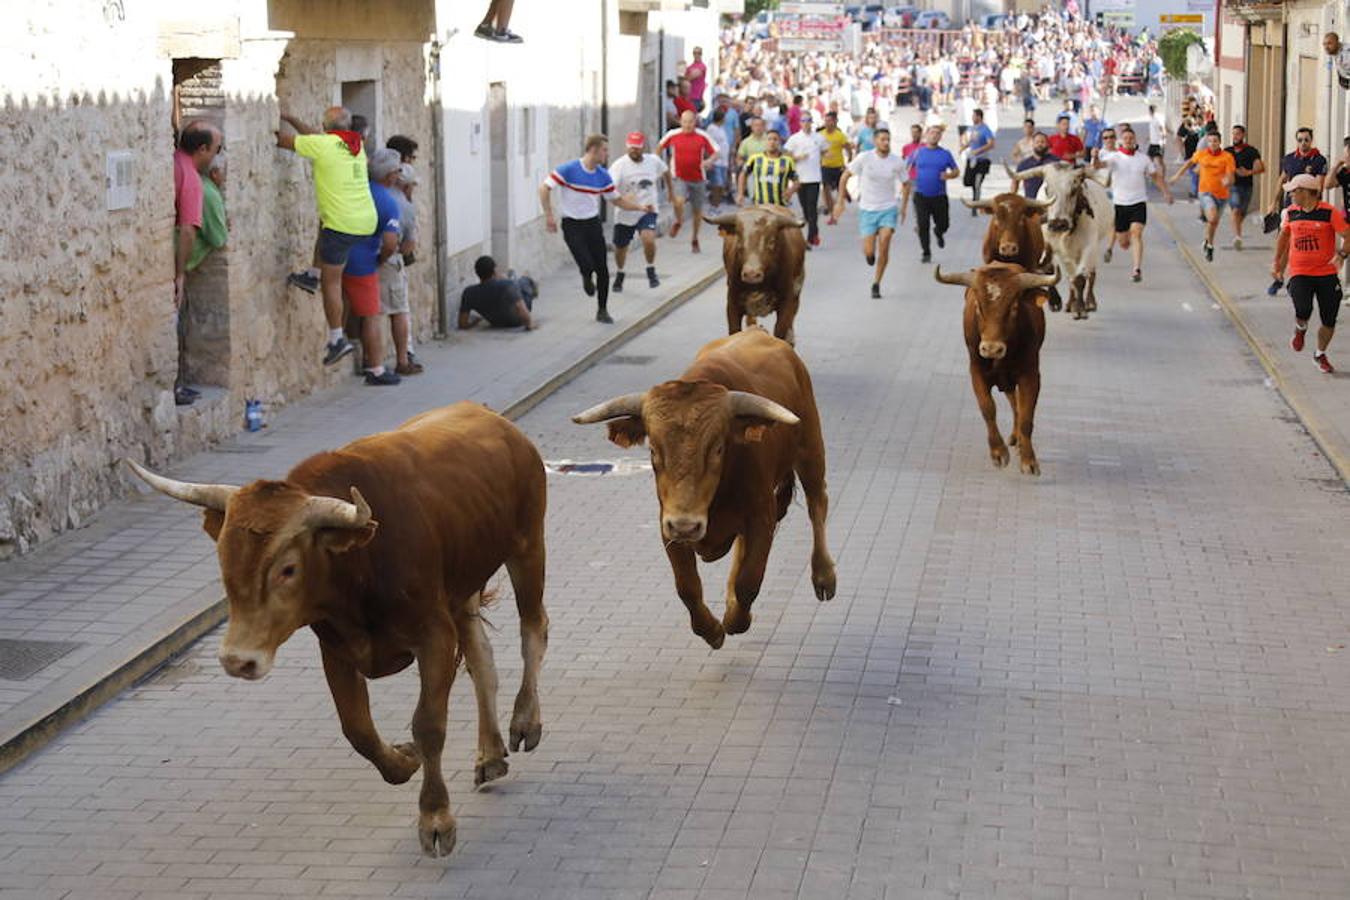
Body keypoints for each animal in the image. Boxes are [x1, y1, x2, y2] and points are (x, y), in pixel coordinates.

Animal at [125, 402, 548, 858]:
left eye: (288, 569)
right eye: (223, 557)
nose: (238, 660)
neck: (360, 566)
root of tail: (490, 417)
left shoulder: (434, 635)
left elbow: (429, 725)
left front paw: (435, 818)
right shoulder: (337, 648)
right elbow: (357, 728)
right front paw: (403, 760)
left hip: (528, 548)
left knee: (533, 630)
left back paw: (525, 721)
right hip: (464, 586)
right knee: (482, 657)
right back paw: (489, 755)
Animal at [567, 327, 831, 650]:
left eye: (718, 448)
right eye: (653, 449)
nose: (686, 525)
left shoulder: (762, 518)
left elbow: (749, 581)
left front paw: (736, 620)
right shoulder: (668, 524)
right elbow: (688, 587)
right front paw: (712, 630)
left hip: (811, 448)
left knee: (817, 503)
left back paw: (824, 576)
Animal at [934, 264, 1058, 474]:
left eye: (1014, 307)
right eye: (978, 307)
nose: (991, 348)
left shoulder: (1031, 375)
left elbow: (1026, 415)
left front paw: (1028, 459)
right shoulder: (976, 372)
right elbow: (988, 409)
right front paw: (998, 452)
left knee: (1017, 405)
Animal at [1009, 163, 1112, 322]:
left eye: (1074, 190)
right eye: (1047, 190)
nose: (1058, 223)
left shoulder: (1089, 247)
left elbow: (1080, 278)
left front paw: (1080, 309)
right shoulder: (1052, 247)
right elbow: (1055, 272)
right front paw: (1056, 301)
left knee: (1090, 274)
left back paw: (1089, 302)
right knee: (1068, 276)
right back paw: (1069, 303)